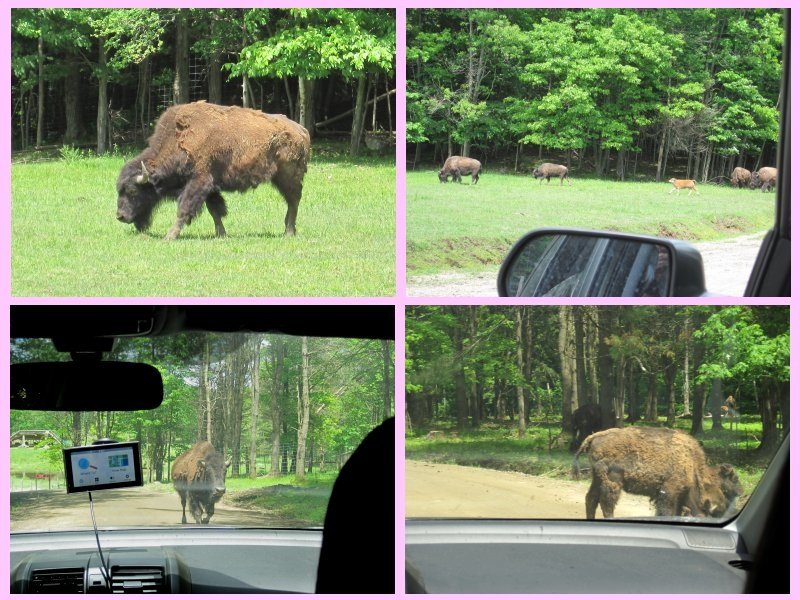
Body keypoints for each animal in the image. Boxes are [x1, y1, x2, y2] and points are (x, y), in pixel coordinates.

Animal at [115, 100, 310, 239]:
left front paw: (169, 236)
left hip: (288, 176)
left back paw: (288, 232)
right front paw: (221, 234)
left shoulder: (199, 182)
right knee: (292, 201)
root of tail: (301, 129)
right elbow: (214, 210)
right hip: (280, 178)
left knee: (293, 200)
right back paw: (289, 230)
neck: (178, 139)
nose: (120, 216)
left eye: (133, 190)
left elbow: (184, 208)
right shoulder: (210, 186)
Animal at [572, 426, 740, 520]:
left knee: (591, 499)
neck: (692, 465)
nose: (740, 491)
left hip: (596, 479)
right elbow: (666, 511)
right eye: (733, 478)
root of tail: (594, 436)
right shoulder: (669, 492)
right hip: (612, 481)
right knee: (606, 503)